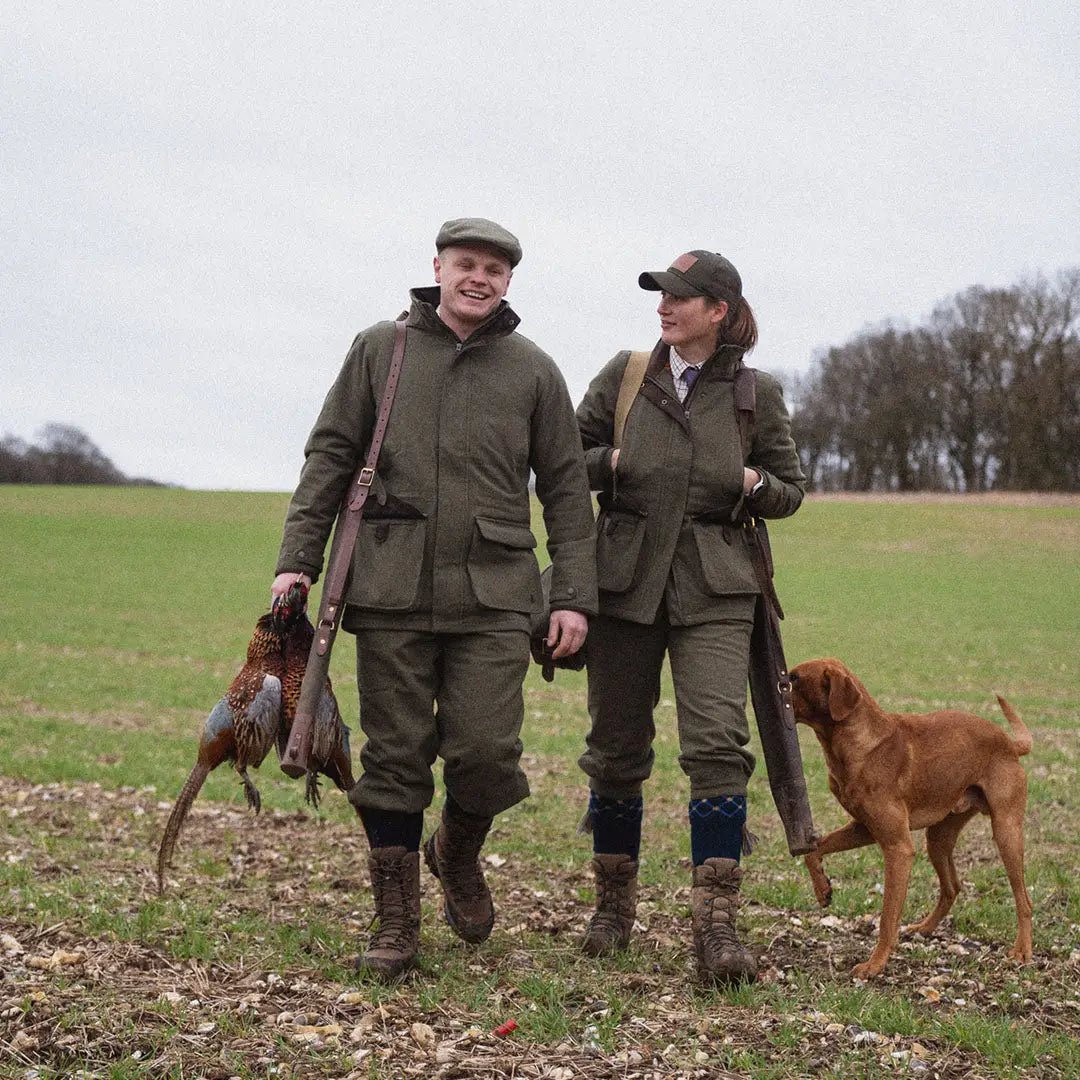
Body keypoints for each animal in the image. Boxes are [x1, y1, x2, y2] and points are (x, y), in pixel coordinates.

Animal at [790, 656, 1032, 980]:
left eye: (793, 678)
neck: (858, 743)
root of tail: (1009, 742)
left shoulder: (898, 847)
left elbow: (887, 917)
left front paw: (875, 964)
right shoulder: (863, 828)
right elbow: (813, 850)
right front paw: (822, 889)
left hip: (1006, 831)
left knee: (1023, 899)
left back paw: (1022, 951)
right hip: (939, 838)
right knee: (952, 887)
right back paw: (924, 928)